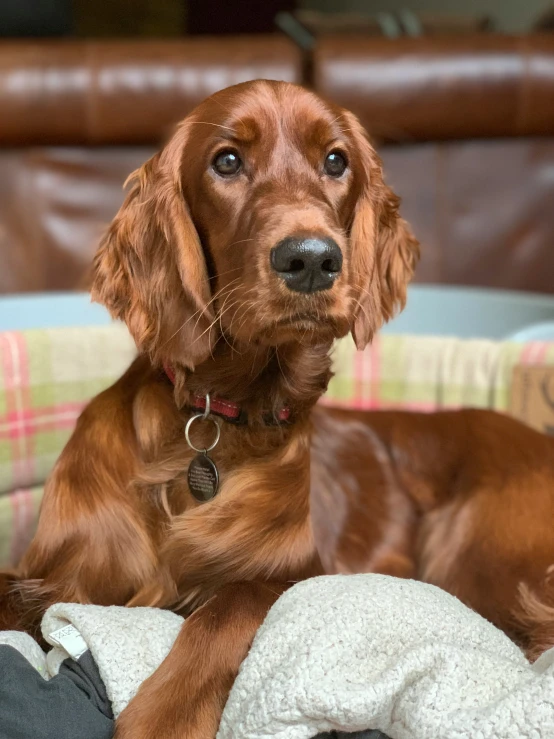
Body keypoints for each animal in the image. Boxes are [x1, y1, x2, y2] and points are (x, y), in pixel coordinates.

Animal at [2, 78, 548, 736]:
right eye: (226, 161)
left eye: (336, 161)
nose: (311, 259)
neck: (223, 415)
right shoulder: (57, 580)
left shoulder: (296, 575)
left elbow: (234, 600)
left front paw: (164, 714)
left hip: (480, 565)